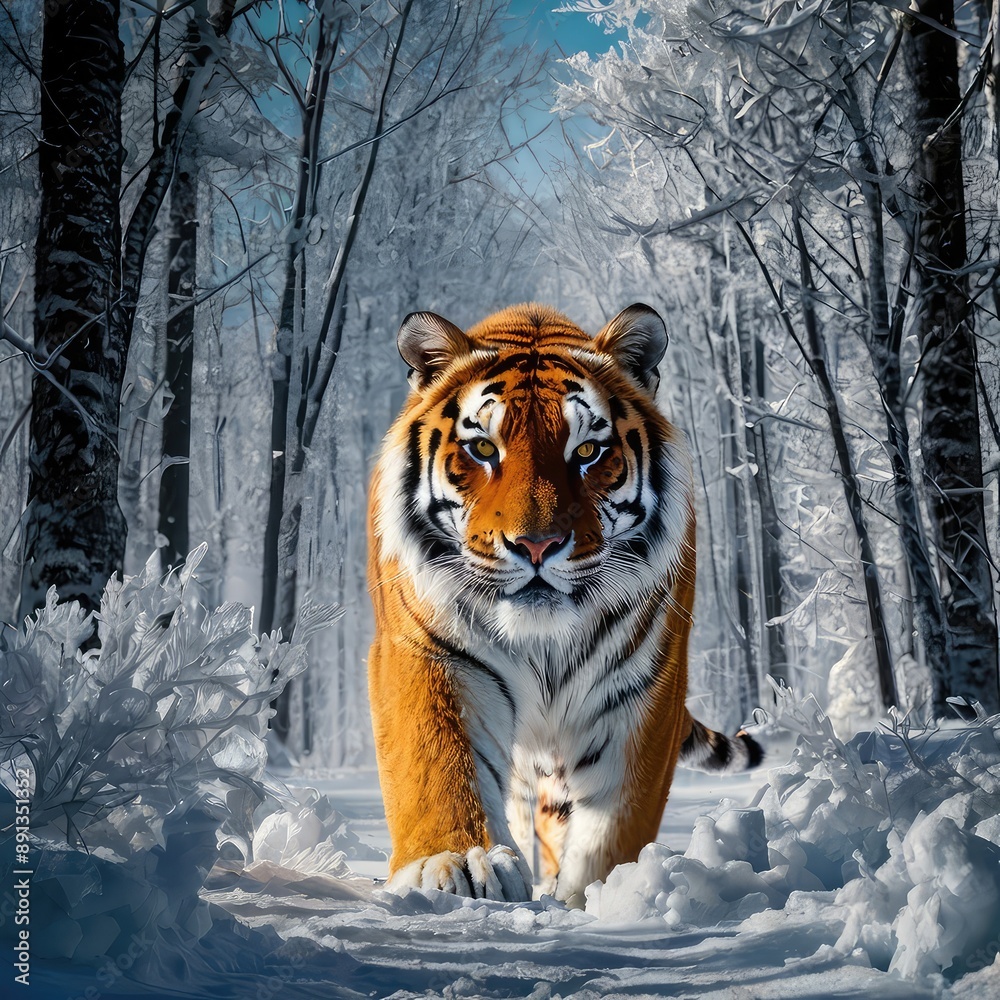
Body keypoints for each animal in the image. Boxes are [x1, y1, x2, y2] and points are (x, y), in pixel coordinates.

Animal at [367, 303, 762, 907]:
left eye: (587, 451)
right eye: (484, 448)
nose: (537, 545)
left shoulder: (644, 690)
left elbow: (616, 821)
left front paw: (603, 894)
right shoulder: (430, 653)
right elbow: (439, 760)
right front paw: (458, 862)